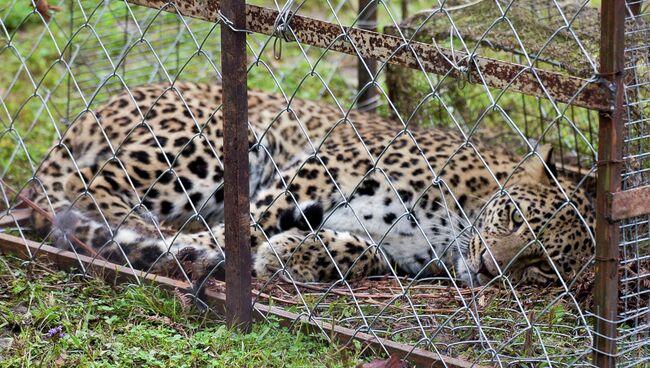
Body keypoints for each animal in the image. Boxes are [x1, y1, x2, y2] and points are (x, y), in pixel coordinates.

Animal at [29, 81, 592, 288]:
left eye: (544, 268)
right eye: (514, 217)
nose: (491, 267)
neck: (451, 225)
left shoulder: (407, 258)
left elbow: (362, 252)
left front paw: (292, 255)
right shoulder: (323, 166)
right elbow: (248, 222)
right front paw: (208, 250)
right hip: (206, 147)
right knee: (90, 193)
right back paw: (146, 238)